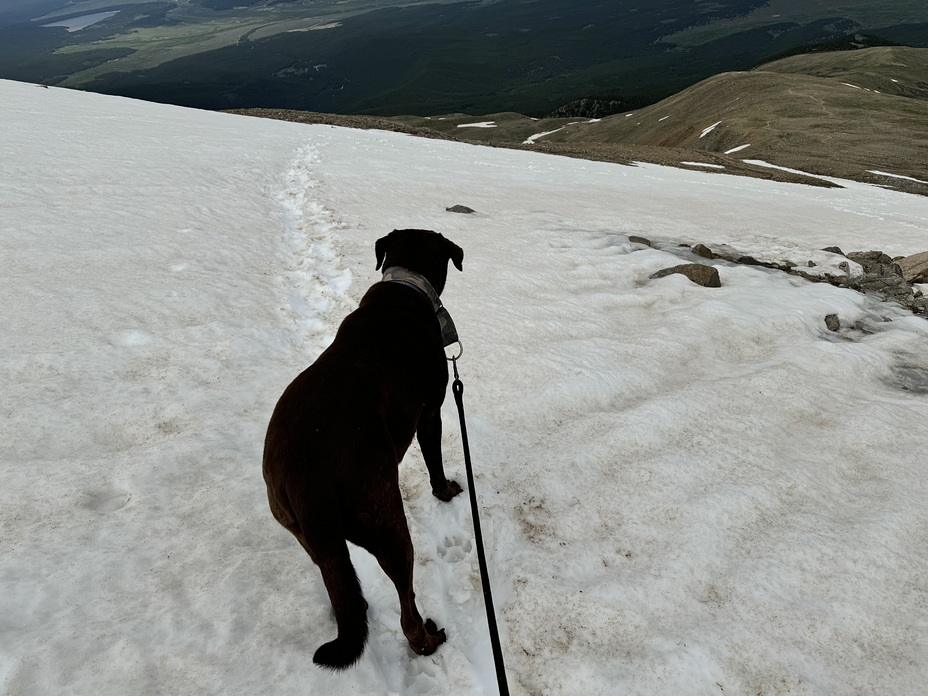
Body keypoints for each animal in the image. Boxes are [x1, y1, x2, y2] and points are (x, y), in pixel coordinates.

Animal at [260, 228, 464, 668]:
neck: (407, 284)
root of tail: (308, 480)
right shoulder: (430, 413)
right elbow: (435, 461)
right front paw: (445, 492)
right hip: (384, 517)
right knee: (405, 604)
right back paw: (428, 639)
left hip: (303, 531)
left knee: (340, 583)